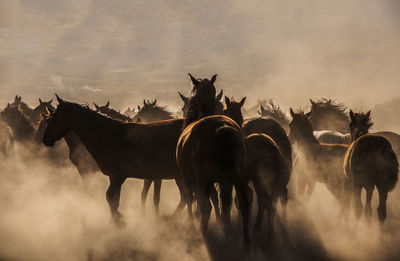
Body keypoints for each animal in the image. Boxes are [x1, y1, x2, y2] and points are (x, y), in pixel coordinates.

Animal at [43, 94, 187, 224]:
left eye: (54, 118)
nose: (45, 139)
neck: (109, 135)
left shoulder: (119, 176)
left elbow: (109, 197)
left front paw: (119, 220)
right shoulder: (113, 177)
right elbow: (114, 201)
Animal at [176, 73, 250, 246]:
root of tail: (223, 128)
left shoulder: (190, 179)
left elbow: (191, 201)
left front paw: (192, 222)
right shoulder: (224, 181)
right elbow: (224, 205)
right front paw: (224, 226)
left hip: (204, 180)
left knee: (205, 208)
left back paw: (204, 235)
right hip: (238, 177)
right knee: (242, 205)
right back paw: (244, 242)